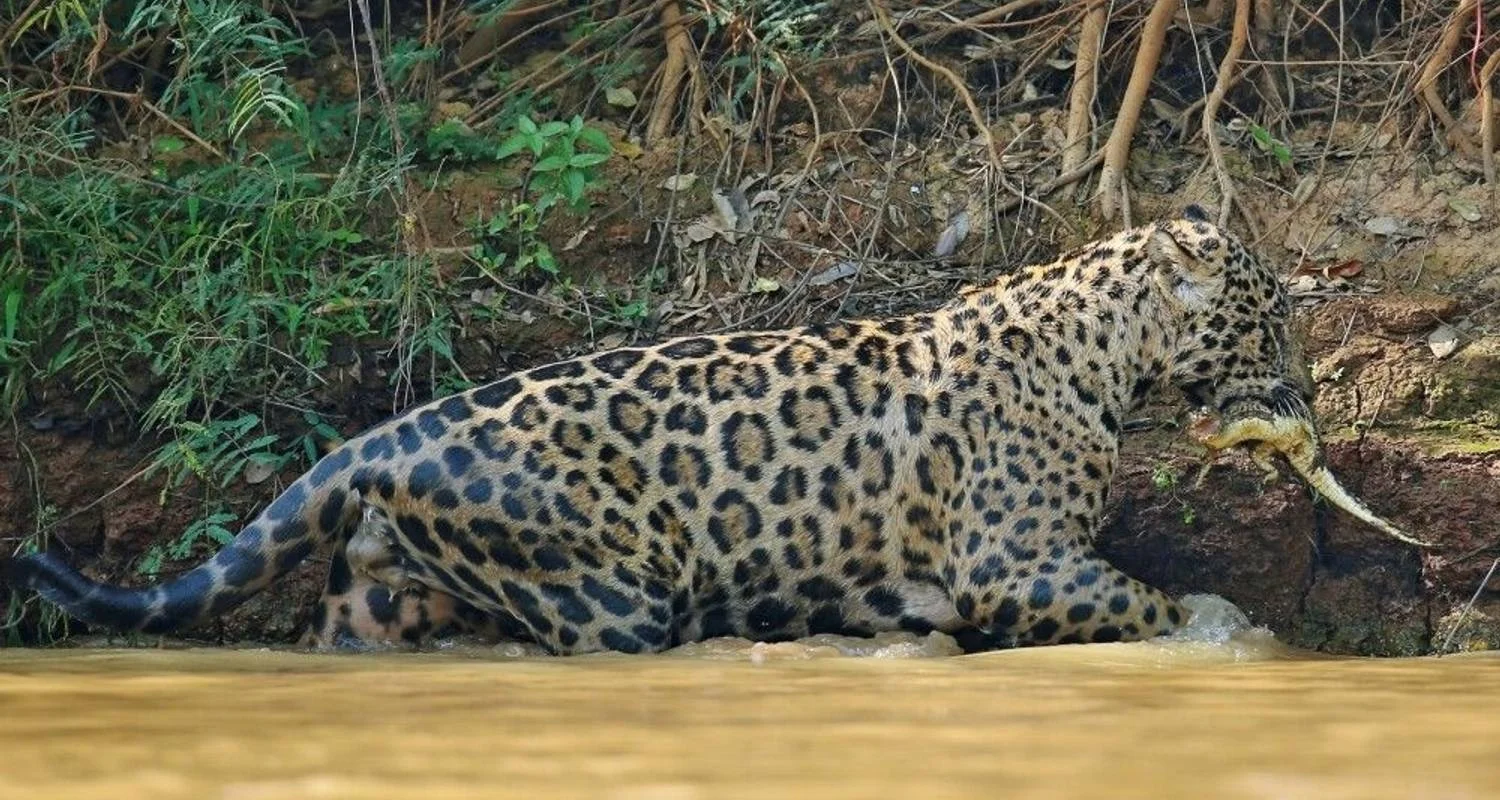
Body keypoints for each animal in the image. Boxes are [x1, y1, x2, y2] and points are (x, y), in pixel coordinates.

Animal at [6, 206, 1314, 653]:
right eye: (1266, 319)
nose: (1304, 399)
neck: (1104, 348)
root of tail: (379, 435)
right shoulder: (1015, 559)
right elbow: (1142, 599)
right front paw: (1221, 626)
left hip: (374, 598)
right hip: (604, 585)